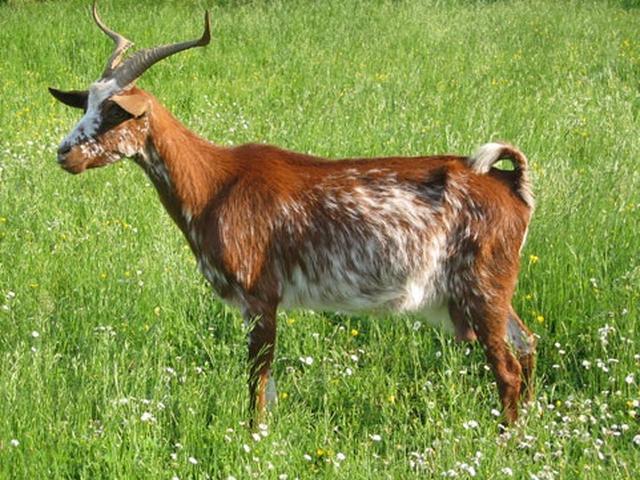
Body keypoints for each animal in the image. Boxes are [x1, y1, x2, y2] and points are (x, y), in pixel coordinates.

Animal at [50, 2, 536, 426]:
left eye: (115, 111)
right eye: (87, 103)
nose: (64, 154)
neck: (213, 183)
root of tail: (511, 185)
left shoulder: (260, 295)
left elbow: (257, 381)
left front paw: (254, 440)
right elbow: (267, 386)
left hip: (481, 286)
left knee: (508, 370)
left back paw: (505, 442)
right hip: (492, 290)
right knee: (528, 345)